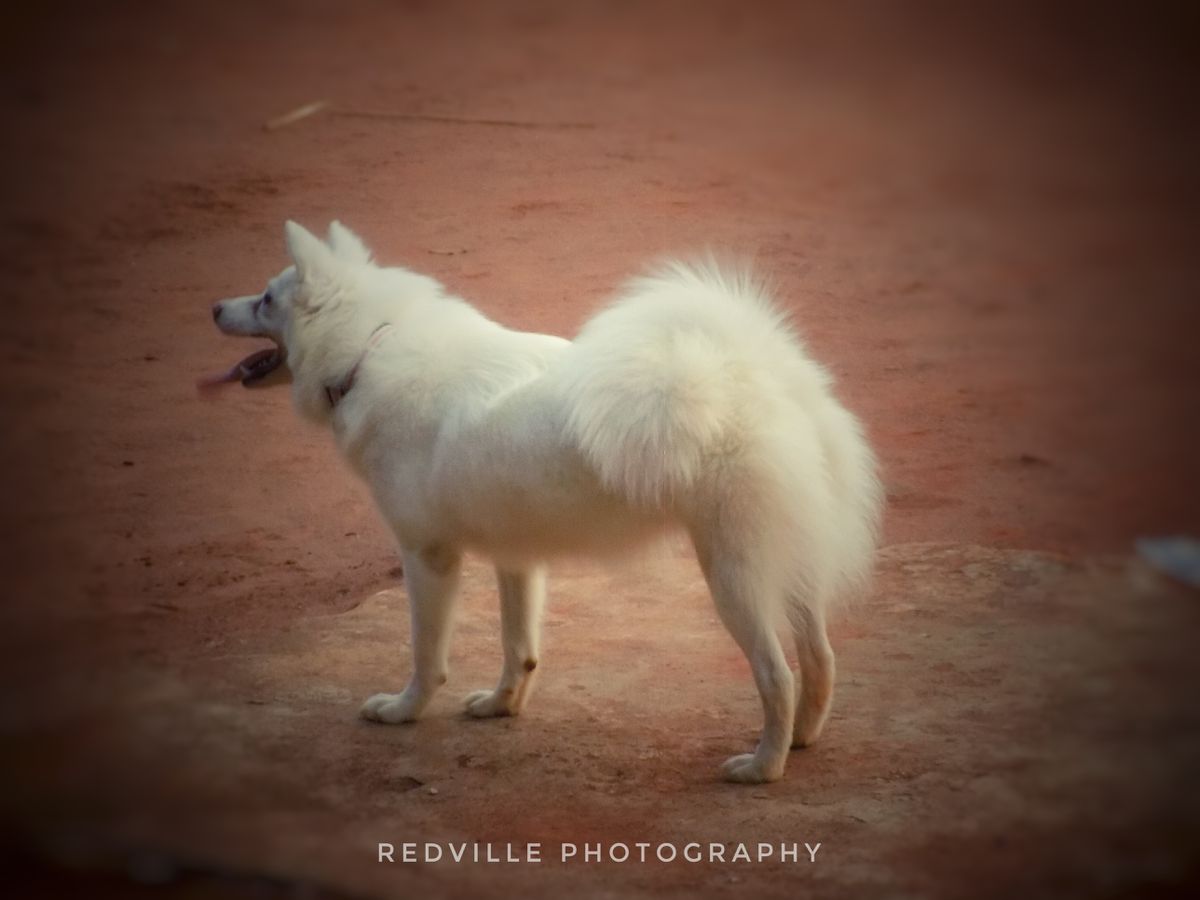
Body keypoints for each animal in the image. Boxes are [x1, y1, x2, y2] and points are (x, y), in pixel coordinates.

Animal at [206, 222, 883, 787]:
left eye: (265, 299)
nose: (212, 307)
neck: (369, 346)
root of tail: (749, 372)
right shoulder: (517, 560)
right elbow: (519, 649)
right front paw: (500, 707)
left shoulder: (428, 559)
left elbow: (427, 656)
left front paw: (402, 711)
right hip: (786, 565)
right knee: (819, 658)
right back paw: (801, 741)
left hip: (733, 578)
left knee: (778, 675)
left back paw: (762, 767)